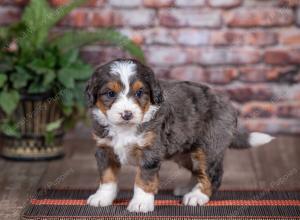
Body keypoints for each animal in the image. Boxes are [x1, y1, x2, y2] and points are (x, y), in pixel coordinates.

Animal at [84, 58, 274, 213]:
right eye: (110, 94)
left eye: (139, 93)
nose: (127, 114)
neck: (125, 128)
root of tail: (229, 105)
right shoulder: (104, 149)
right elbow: (107, 177)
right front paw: (102, 197)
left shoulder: (150, 151)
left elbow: (144, 179)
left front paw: (140, 203)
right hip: (185, 153)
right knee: (198, 170)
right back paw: (189, 189)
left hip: (208, 147)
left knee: (212, 174)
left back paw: (197, 196)